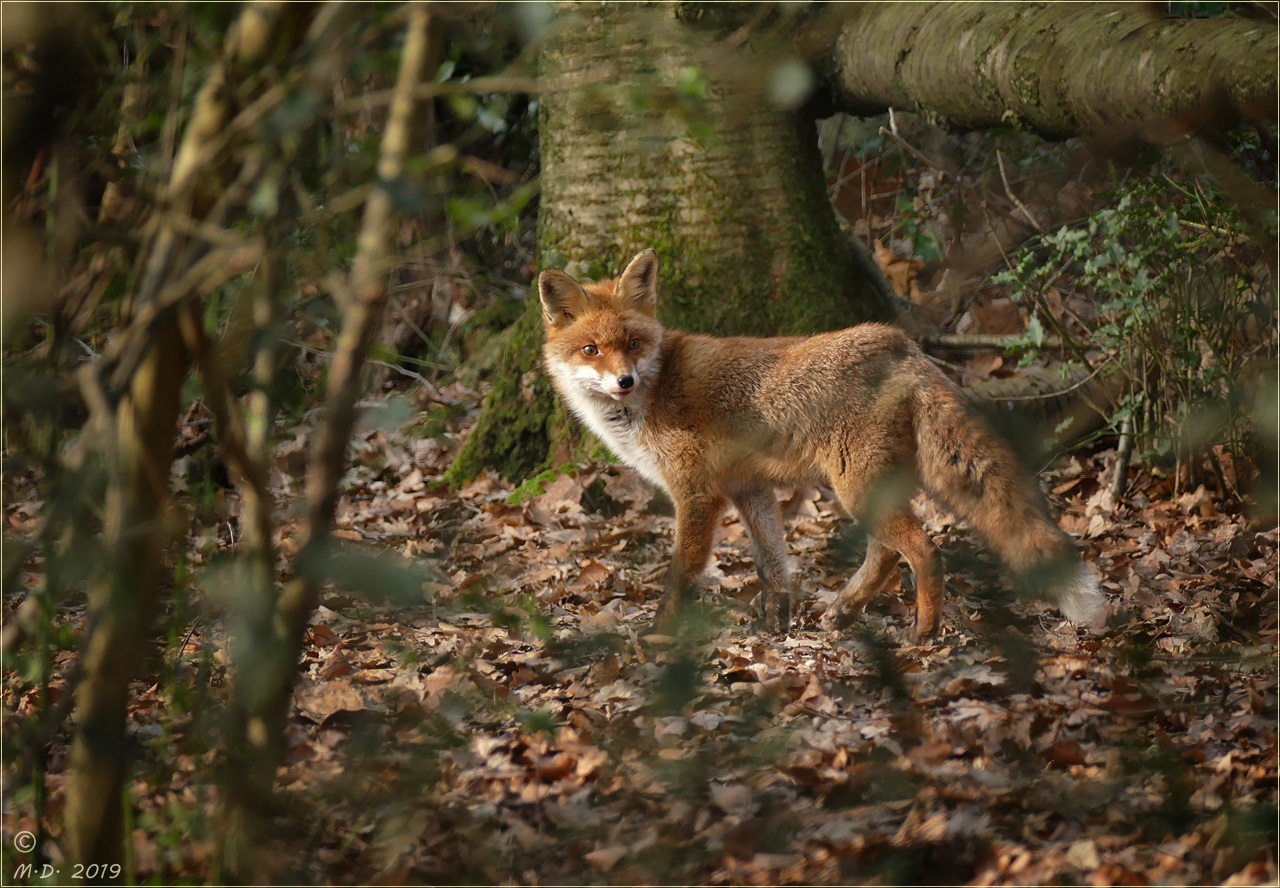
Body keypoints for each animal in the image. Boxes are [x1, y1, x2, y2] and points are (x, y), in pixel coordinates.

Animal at [535, 250, 1105, 639]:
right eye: (591, 349)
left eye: (633, 344)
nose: (624, 381)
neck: (652, 395)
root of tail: (901, 344)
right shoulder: (749, 490)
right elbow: (773, 566)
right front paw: (774, 627)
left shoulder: (698, 494)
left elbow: (681, 572)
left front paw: (658, 636)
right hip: (866, 485)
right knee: (887, 553)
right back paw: (846, 611)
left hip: (854, 486)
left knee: (922, 550)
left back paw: (923, 632)